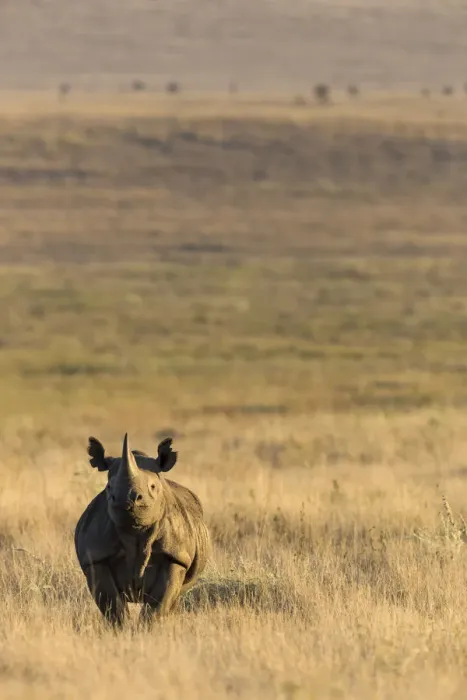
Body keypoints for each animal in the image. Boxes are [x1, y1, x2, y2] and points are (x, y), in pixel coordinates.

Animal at [74, 433, 211, 626]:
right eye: (109, 487)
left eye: (153, 487)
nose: (126, 500)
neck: (135, 530)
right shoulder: (96, 558)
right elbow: (113, 605)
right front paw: (121, 629)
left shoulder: (175, 556)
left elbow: (158, 604)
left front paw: (147, 629)